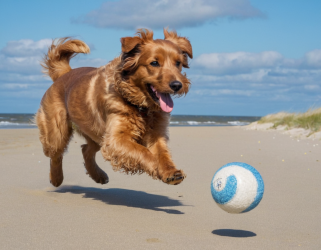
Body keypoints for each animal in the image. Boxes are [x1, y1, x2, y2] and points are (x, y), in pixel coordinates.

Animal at [36, 28, 194, 187]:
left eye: (178, 63)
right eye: (154, 63)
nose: (177, 85)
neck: (141, 107)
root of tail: (64, 73)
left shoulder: (156, 134)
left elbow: (163, 154)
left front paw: (170, 172)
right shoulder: (115, 140)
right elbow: (143, 151)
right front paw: (156, 166)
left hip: (95, 132)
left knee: (86, 149)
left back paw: (98, 175)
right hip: (57, 132)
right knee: (55, 155)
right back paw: (56, 178)